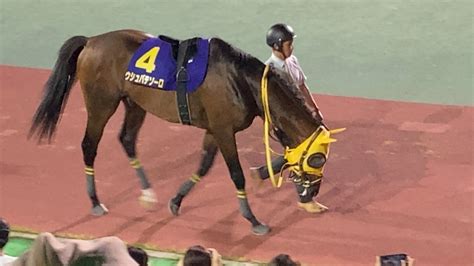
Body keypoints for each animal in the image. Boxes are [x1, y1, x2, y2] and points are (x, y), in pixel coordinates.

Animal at [28, 29, 336, 235]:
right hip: (101, 103)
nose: (311, 194)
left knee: (126, 139)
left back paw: (147, 192)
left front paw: (176, 201)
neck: (241, 79)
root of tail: (91, 41)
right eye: (317, 161)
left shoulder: (214, 129)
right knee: (89, 145)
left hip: (135, 102)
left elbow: (203, 166)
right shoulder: (224, 129)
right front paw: (253, 219)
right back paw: (95, 202)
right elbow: (235, 173)